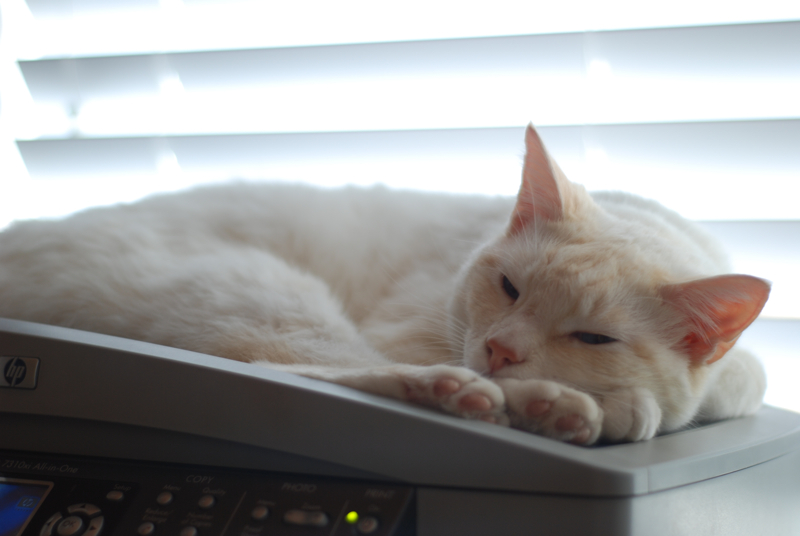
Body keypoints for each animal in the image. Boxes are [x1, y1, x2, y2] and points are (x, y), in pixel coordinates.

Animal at [0, 125, 768, 444]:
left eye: (593, 336)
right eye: (509, 287)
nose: (501, 350)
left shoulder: (742, 374)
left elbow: (740, 382)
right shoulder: (412, 327)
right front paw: (613, 408)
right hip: (258, 289)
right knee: (306, 369)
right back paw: (512, 402)